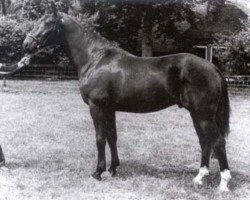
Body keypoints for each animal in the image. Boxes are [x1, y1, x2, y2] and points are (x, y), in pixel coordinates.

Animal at [22, 9, 231, 191]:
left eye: (47, 23)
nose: (26, 44)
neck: (95, 59)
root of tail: (213, 68)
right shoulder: (109, 109)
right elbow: (112, 136)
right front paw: (113, 169)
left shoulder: (97, 107)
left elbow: (100, 138)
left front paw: (98, 172)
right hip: (197, 114)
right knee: (205, 141)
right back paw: (199, 177)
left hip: (203, 115)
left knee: (218, 141)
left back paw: (223, 183)